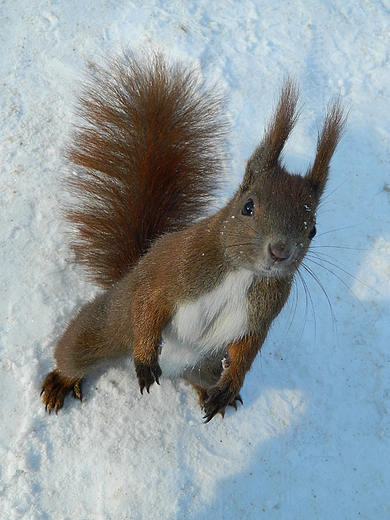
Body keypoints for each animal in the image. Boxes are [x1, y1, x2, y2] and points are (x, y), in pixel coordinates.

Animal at [39, 49, 346, 422]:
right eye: (247, 207)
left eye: (313, 229)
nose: (279, 251)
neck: (242, 273)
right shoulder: (172, 268)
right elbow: (150, 303)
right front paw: (146, 357)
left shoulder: (262, 315)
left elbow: (247, 349)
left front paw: (232, 382)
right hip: (104, 328)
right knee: (74, 352)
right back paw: (62, 381)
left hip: (206, 364)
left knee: (199, 377)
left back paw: (215, 395)